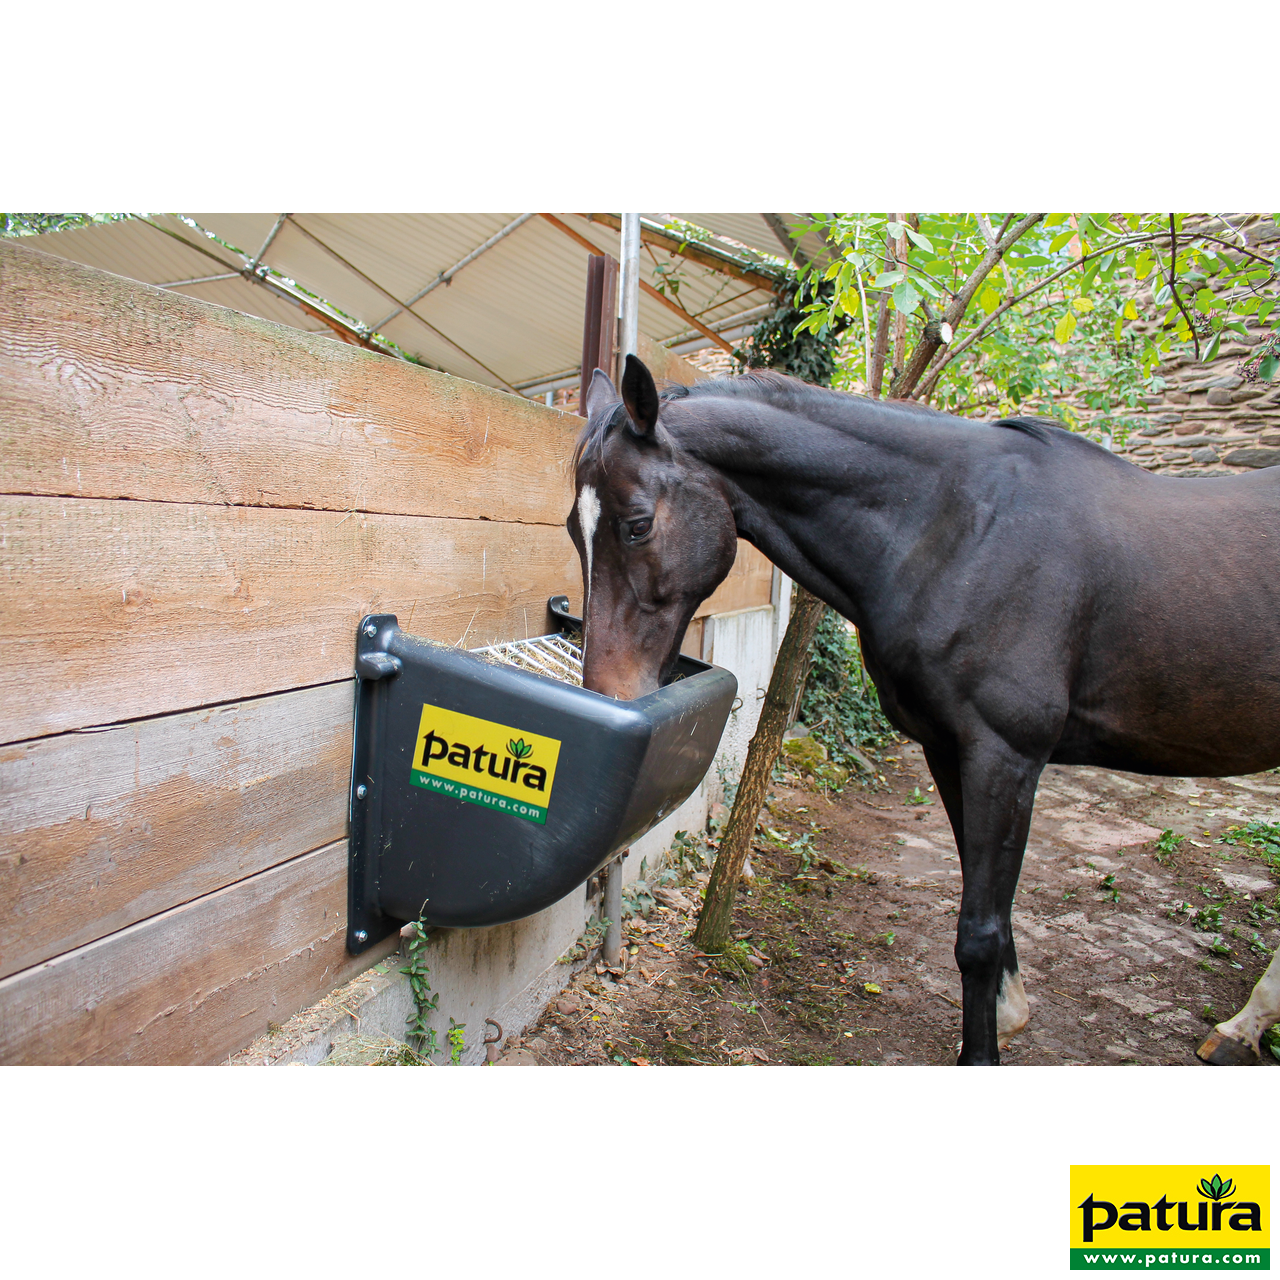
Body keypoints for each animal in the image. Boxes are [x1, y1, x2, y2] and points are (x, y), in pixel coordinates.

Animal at [566, 355, 1280, 1066]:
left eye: (637, 524)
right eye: (575, 529)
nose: (610, 691)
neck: (958, 531)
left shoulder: (1004, 757)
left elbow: (980, 931)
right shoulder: (948, 749)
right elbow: (987, 902)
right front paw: (1009, 1014)